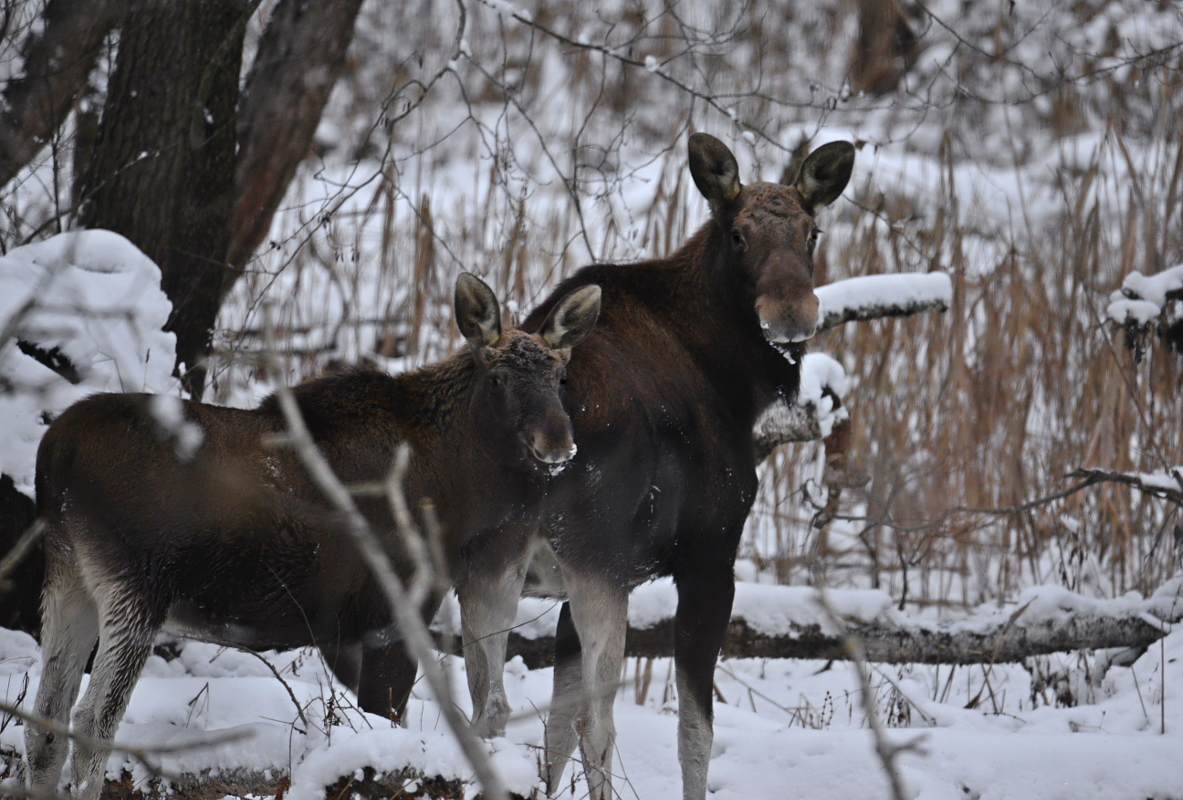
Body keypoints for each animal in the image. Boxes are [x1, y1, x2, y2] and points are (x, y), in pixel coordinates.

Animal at [24, 273, 601, 800]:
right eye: (497, 378)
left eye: (561, 377)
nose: (557, 443)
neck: (459, 493)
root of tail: (54, 453)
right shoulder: (392, 611)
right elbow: (386, 723)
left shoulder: (342, 630)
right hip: (136, 585)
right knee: (92, 721)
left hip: (70, 575)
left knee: (45, 721)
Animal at [520, 133, 855, 800]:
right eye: (738, 234)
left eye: (812, 232)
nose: (791, 313)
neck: (737, 380)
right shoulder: (708, 559)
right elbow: (693, 733)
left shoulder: (575, 586)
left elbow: (554, 732)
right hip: (598, 564)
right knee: (601, 725)